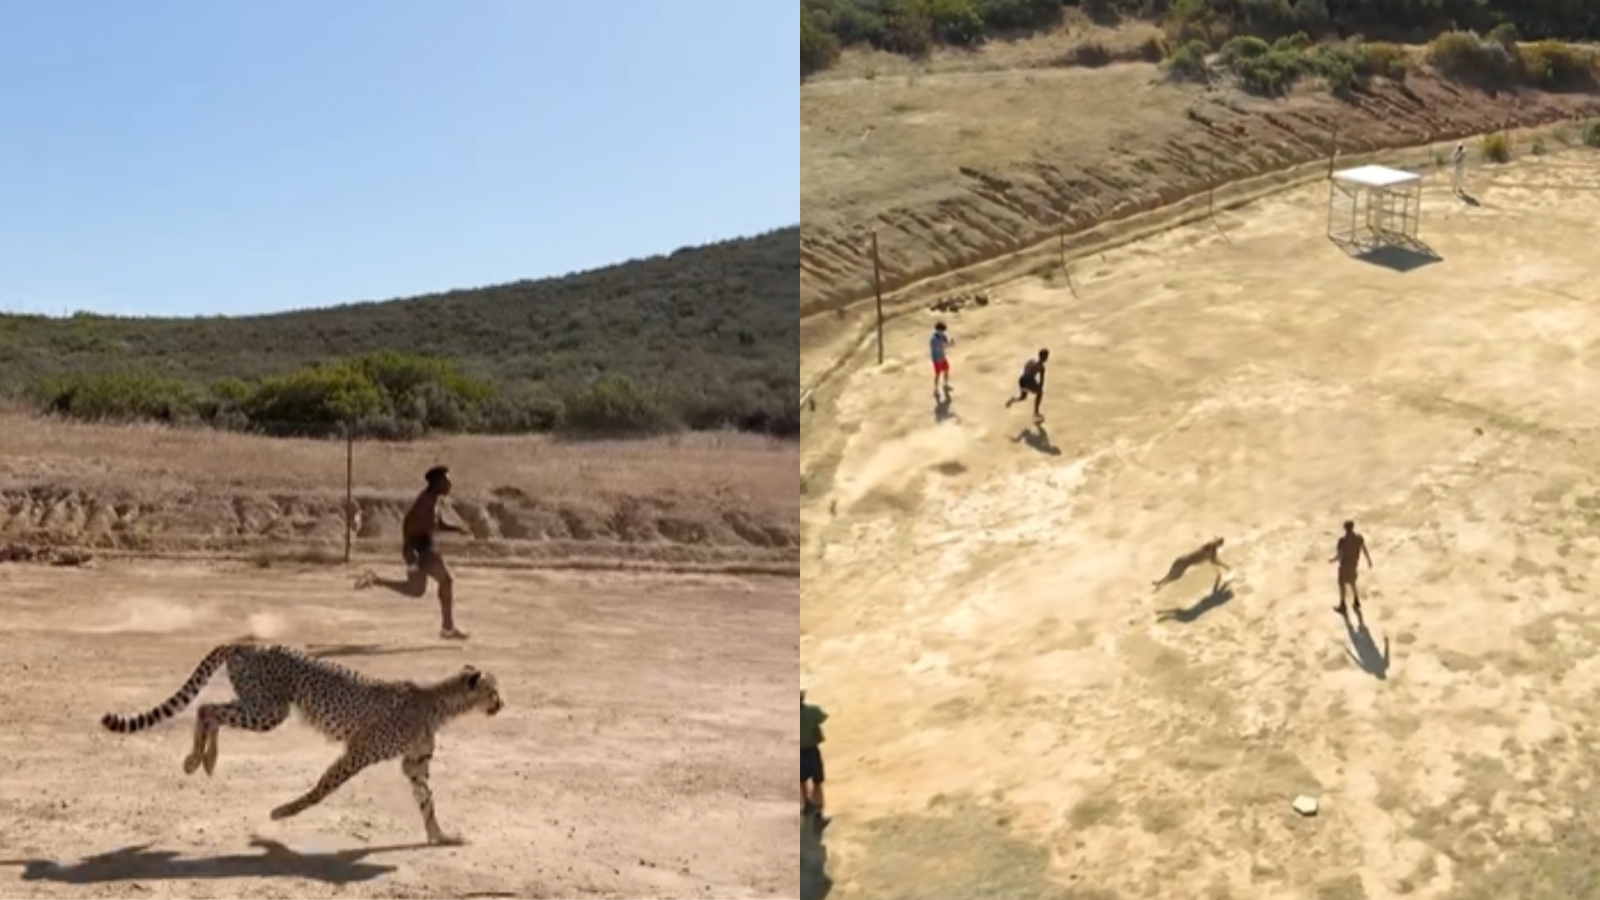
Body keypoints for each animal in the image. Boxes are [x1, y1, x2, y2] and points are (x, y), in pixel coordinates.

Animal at [100, 641, 503, 845]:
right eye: (493, 690)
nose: (501, 704)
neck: (439, 703)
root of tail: (247, 641)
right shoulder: (358, 751)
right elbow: (322, 788)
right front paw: (284, 812)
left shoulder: (414, 765)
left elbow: (427, 801)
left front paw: (441, 836)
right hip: (268, 710)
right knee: (208, 708)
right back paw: (197, 760)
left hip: (261, 706)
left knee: (210, 710)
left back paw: (205, 761)